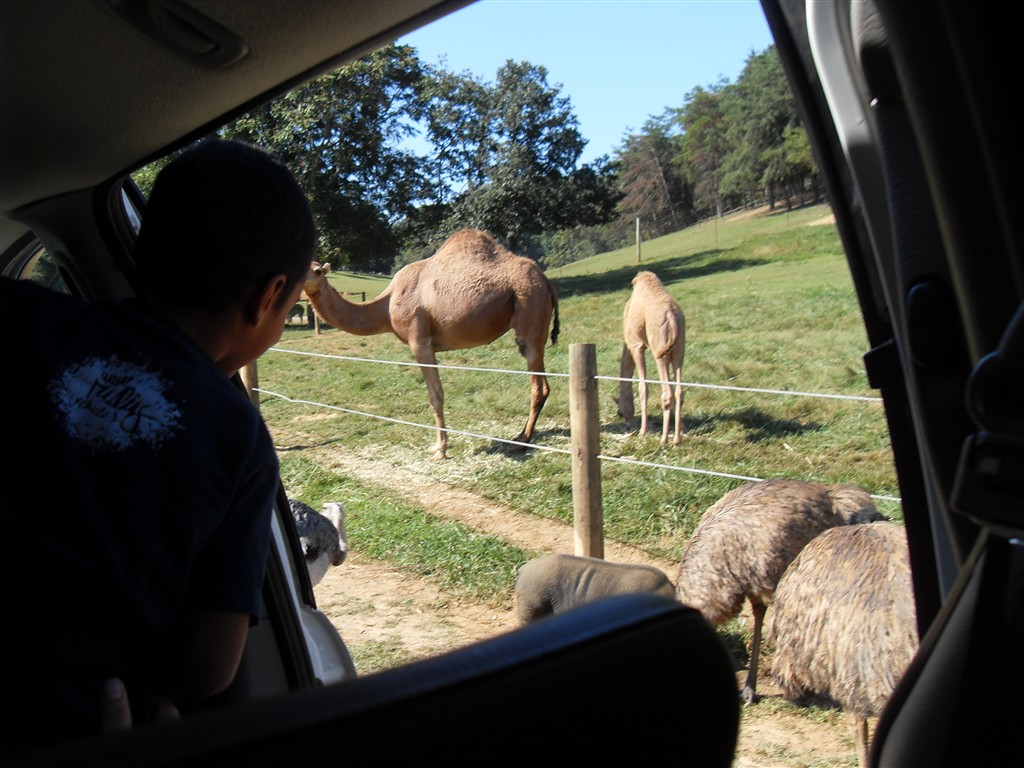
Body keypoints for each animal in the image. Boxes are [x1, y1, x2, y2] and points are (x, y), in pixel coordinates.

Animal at [303, 229, 560, 460]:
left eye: (317, 270)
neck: (387, 304)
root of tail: (546, 281)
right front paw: (438, 447)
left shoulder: (420, 342)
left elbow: (435, 395)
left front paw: (440, 450)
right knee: (543, 383)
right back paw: (520, 436)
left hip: (530, 305)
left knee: (537, 384)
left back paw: (521, 443)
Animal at [612, 270, 686, 445]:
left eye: (620, 412)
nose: (628, 424)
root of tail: (672, 316)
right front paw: (681, 427)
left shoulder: (636, 345)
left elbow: (642, 387)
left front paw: (642, 431)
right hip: (678, 349)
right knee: (679, 391)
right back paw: (676, 439)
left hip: (659, 347)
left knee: (667, 393)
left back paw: (664, 440)